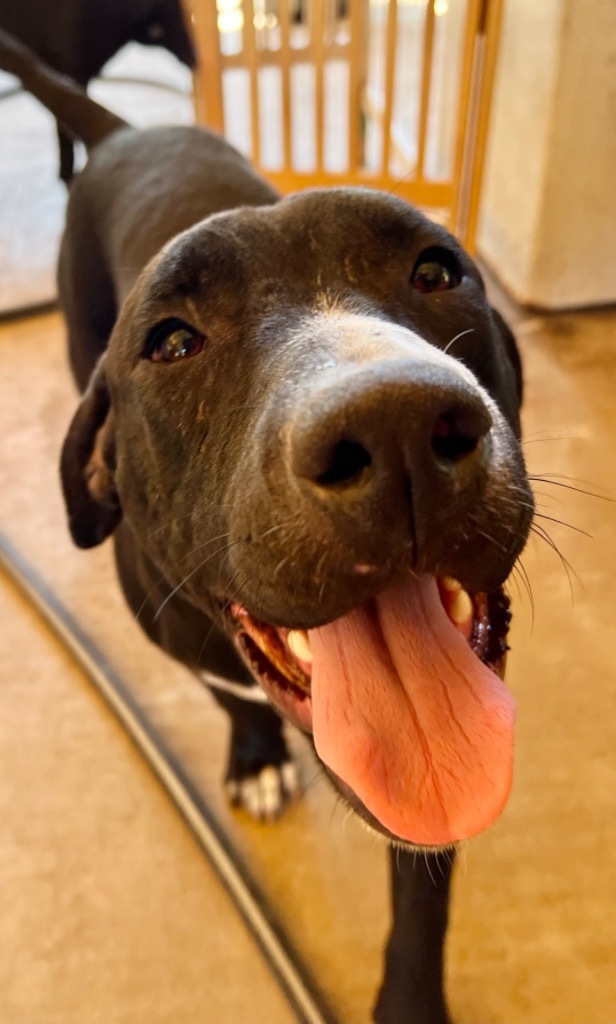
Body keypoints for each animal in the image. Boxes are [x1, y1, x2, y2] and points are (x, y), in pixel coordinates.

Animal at [0, 25, 528, 1024]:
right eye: (170, 341)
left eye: (436, 270)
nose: (397, 425)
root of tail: (127, 128)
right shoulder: (184, 641)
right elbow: (233, 700)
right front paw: (256, 757)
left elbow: (423, 891)